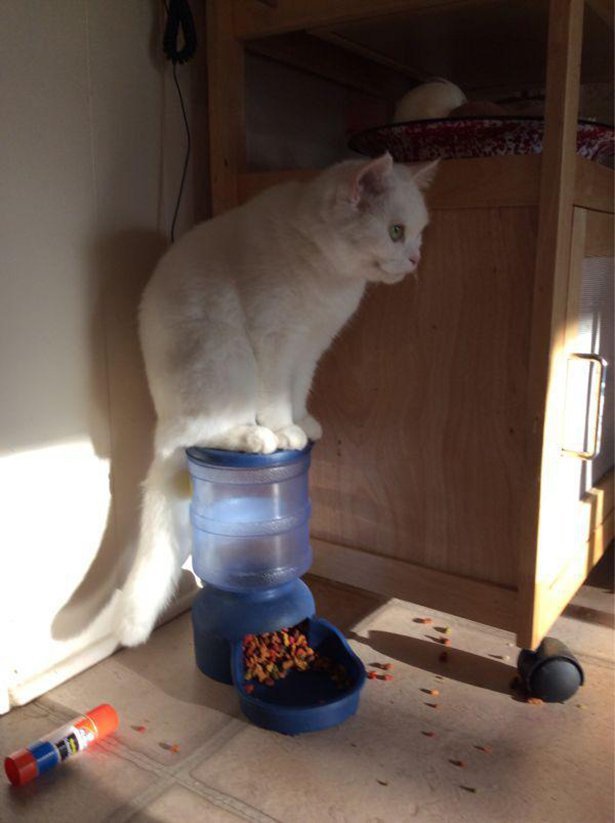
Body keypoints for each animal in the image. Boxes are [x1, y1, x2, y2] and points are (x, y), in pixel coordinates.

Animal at [115, 151, 437, 646]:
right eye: (397, 231)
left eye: (419, 232)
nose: (416, 257)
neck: (330, 276)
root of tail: (160, 428)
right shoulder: (274, 339)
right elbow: (275, 397)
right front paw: (284, 431)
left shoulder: (309, 347)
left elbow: (297, 388)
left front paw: (303, 423)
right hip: (224, 357)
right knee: (201, 432)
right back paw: (254, 438)